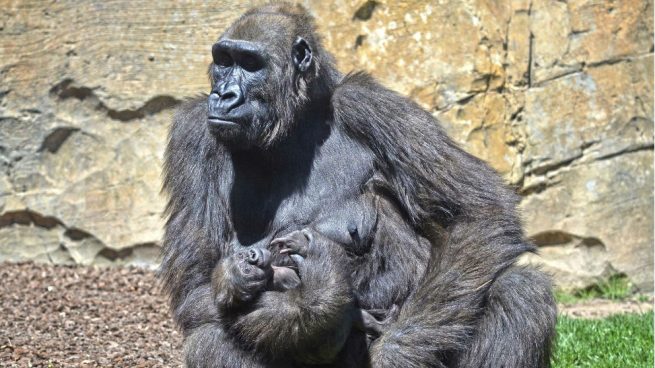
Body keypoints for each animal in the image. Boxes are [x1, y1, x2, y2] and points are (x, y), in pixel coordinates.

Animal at [161, 3, 556, 368]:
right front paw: (282, 297)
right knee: (211, 336)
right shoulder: (193, 134)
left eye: (250, 63)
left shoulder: (371, 106)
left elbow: (478, 213)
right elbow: (196, 288)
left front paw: (391, 352)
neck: (292, 125)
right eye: (223, 60)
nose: (223, 95)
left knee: (520, 290)